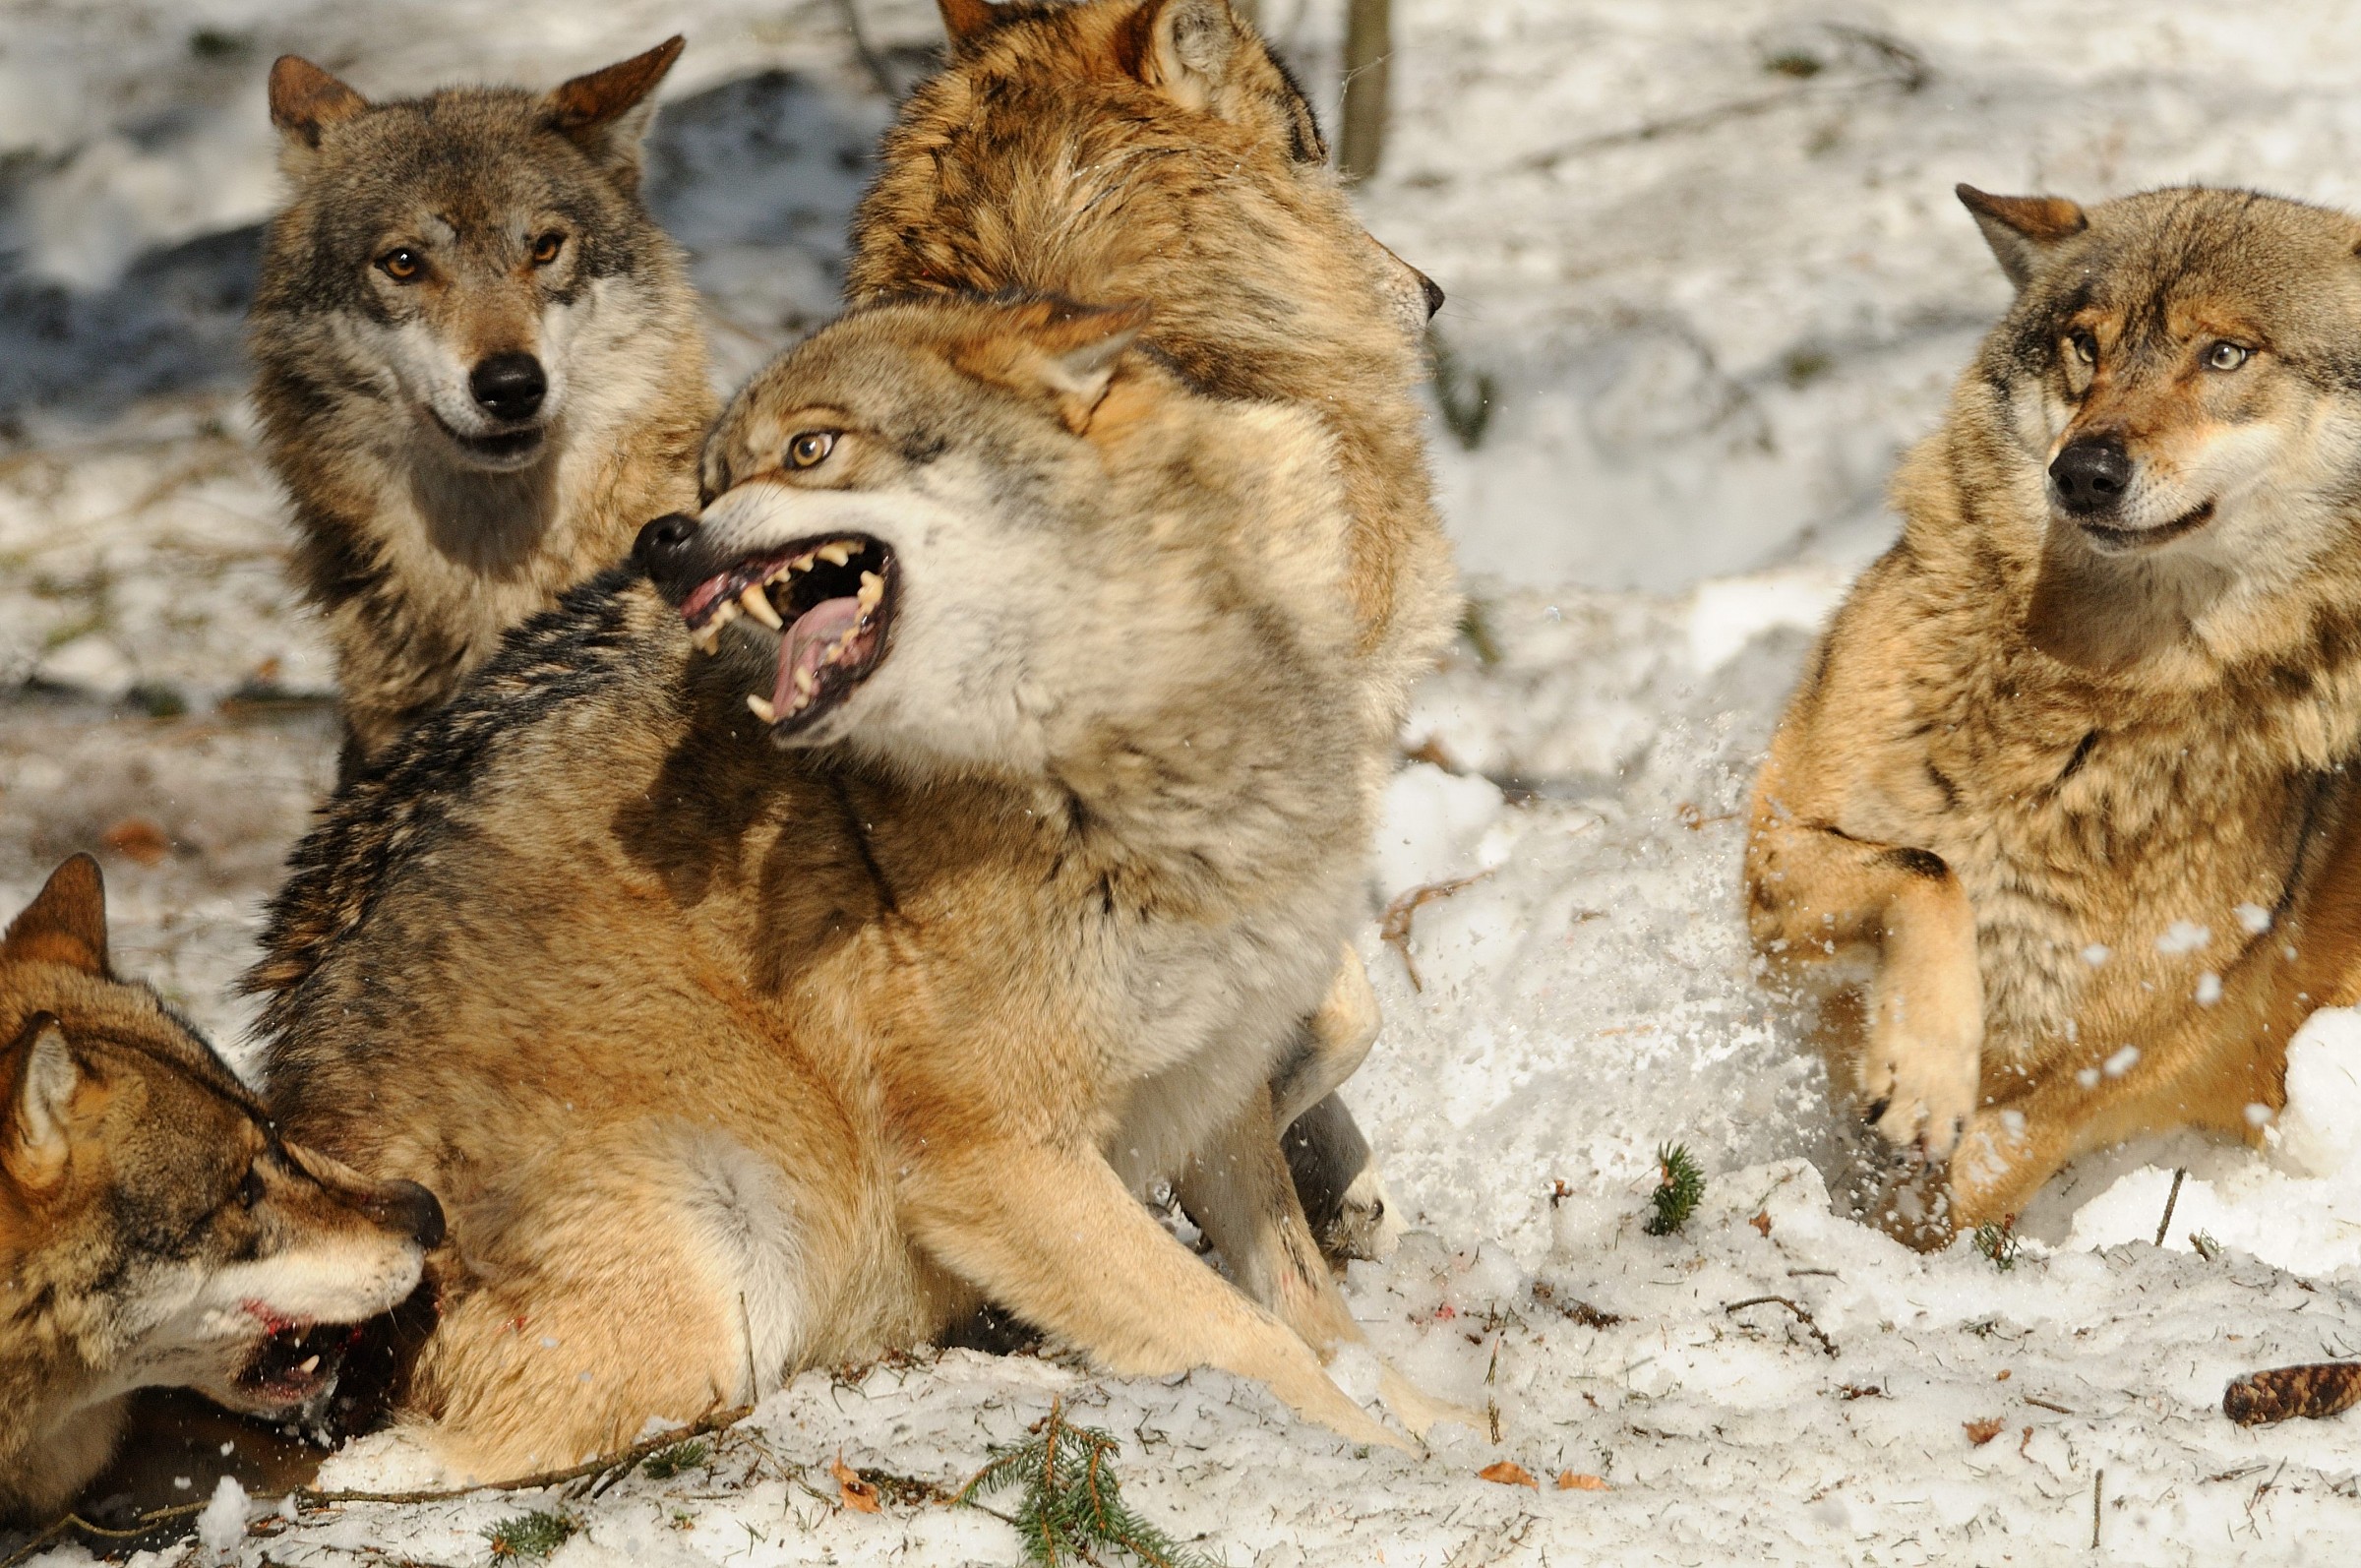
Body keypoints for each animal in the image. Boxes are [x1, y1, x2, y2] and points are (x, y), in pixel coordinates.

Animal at [249, 294, 1465, 1477]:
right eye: (709, 481)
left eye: (810, 450)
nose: (663, 539)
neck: (1123, 739)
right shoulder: (992, 1157)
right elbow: (1246, 1335)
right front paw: (1375, 1458)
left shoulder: (1211, 1075)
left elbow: (1309, 1299)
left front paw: (1442, 1430)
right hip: (716, 1277)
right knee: (404, 1463)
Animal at [1746, 184, 2361, 1245]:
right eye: (2085, 343)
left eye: (2225, 354)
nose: (2084, 470)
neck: (2084, 699)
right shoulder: (1775, 874)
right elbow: (1929, 869)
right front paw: (1921, 1068)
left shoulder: (2076, 1076)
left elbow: (1953, 1195)